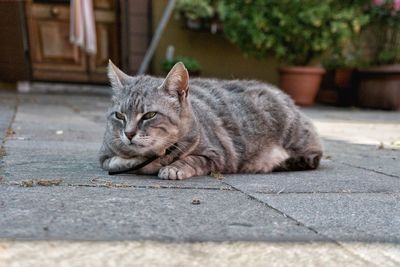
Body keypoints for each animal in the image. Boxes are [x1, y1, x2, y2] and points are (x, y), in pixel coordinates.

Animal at [99, 61, 322, 180]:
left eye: (149, 115)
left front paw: (172, 167)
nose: (128, 133)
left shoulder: (217, 154)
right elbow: (114, 161)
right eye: (120, 116)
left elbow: (191, 159)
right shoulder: (105, 154)